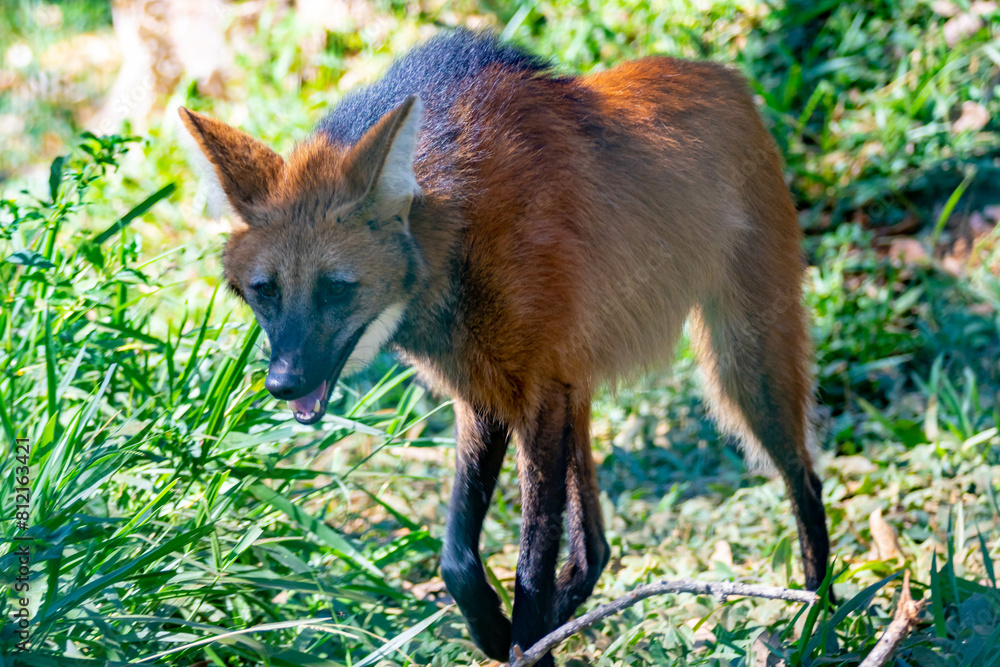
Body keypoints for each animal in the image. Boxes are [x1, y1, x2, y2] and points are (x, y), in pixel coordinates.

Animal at [179, 29, 831, 665]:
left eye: (336, 289)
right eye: (264, 292)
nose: (283, 382)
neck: (456, 233)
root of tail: (729, 77)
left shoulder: (533, 392)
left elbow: (529, 568)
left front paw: (519, 636)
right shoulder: (486, 391)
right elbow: (458, 559)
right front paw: (497, 633)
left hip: (741, 362)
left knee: (805, 477)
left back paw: (815, 621)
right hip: (581, 385)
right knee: (594, 546)